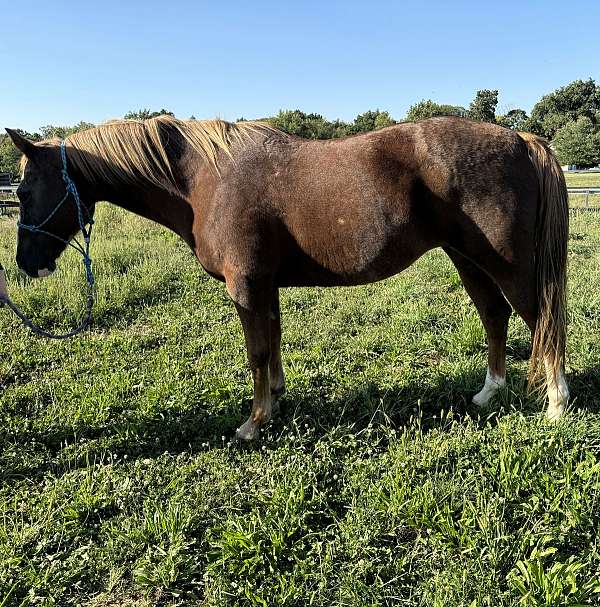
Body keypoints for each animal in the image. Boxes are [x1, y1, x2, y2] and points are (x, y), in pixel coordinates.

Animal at [3, 114, 568, 440]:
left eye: (25, 191)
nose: (26, 264)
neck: (205, 180)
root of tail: (521, 138)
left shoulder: (246, 284)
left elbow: (256, 349)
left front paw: (253, 423)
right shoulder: (265, 285)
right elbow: (273, 342)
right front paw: (274, 399)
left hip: (508, 264)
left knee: (541, 322)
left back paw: (557, 406)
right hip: (467, 258)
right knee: (495, 316)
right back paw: (488, 393)